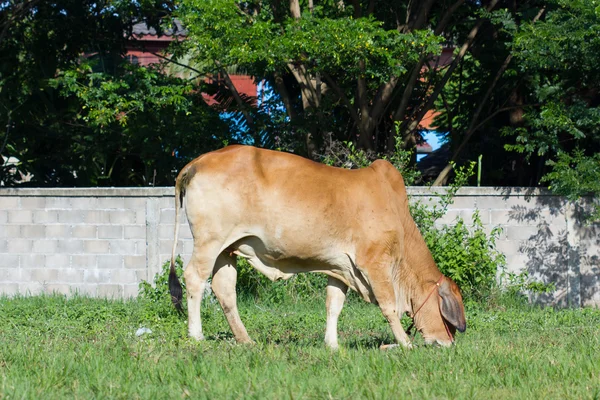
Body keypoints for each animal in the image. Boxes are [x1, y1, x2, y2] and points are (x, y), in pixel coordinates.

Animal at [166, 145, 466, 348]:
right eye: (449, 315)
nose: (449, 343)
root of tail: (198, 161)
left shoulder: (340, 268)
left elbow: (334, 306)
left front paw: (332, 344)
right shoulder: (375, 263)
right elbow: (388, 306)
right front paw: (404, 343)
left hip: (228, 249)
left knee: (225, 290)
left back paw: (246, 339)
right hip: (209, 242)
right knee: (194, 278)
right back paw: (197, 335)